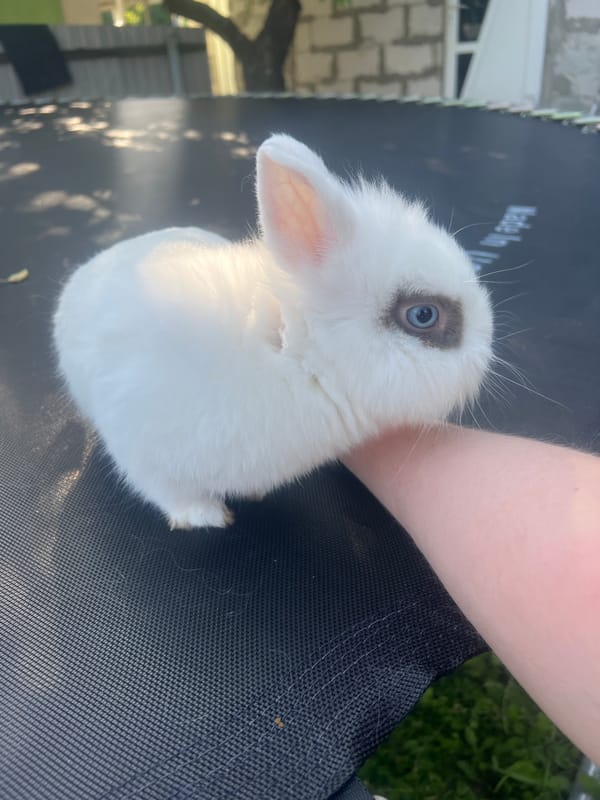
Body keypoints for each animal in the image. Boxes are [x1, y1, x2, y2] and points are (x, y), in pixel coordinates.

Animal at [53, 134, 493, 530]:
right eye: (423, 314)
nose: (488, 351)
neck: (291, 354)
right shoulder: (140, 445)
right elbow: (165, 489)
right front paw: (203, 517)